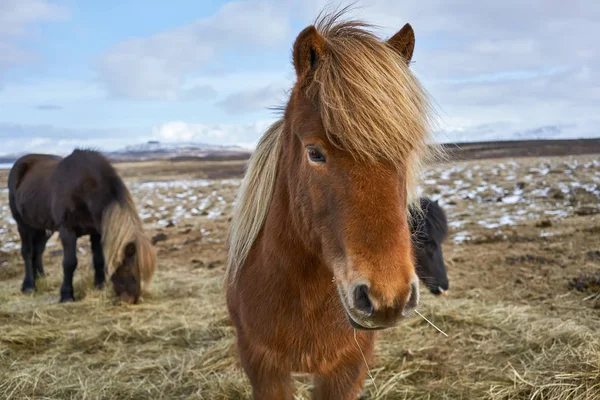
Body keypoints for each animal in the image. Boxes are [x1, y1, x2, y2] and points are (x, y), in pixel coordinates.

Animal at [8, 149, 156, 304]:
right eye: (128, 268)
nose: (132, 299)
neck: (83, 188)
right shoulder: (67, 231)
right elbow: (69, 263)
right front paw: (66, 295)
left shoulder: (96, 232)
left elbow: (98, 259)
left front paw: (100, 285)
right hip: (23, 224)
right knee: (28, 252)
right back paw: (29, 286)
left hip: (42, 228)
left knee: (38, 251)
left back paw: (41, 278)